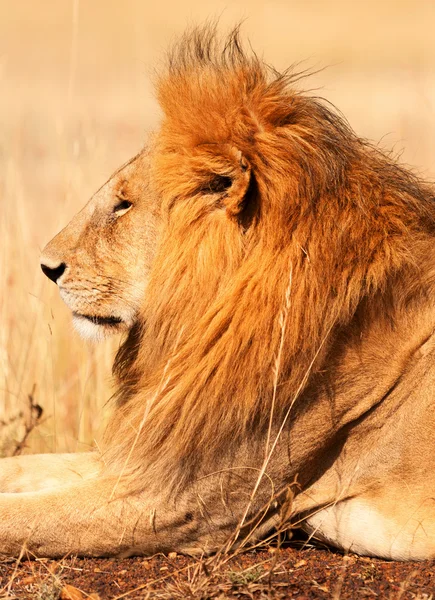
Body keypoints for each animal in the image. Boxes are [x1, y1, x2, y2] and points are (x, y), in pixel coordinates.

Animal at [0, 27, 435, 564]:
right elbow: (23, 466)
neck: (201, 319)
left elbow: (20, 516)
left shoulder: (170, 504)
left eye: (123, 204)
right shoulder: (145, 453)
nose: (47, 268)